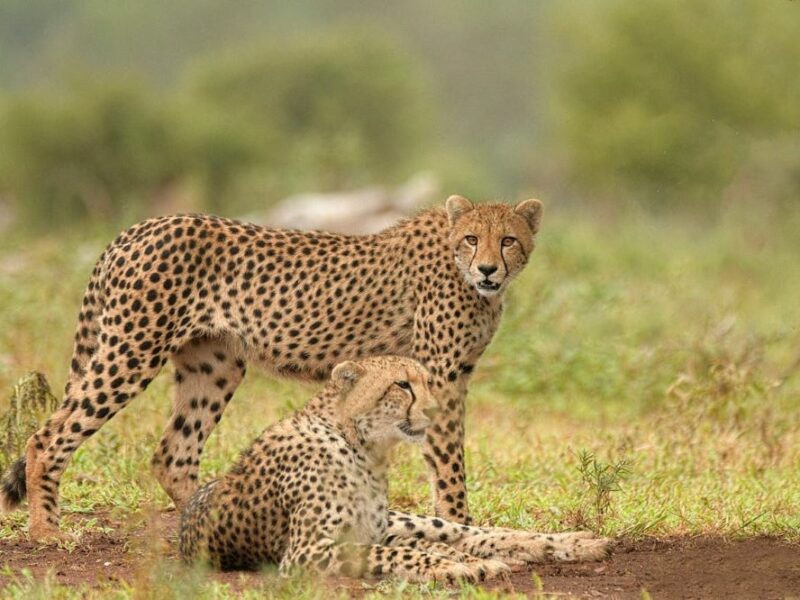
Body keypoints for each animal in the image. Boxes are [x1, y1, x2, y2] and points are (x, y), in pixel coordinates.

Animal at [0, 194, 543, 541]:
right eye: (472, 238)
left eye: (508, 241)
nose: (488, 269)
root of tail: (140, 226)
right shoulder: (441, 377)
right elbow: (449, 463)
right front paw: (460, 524)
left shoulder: (453, 377)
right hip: (132, 349)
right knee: (47, 436)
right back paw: (46, 532)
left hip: (215, 364)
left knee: (174, 454)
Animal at [178, 355, 611, 582]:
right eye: (402, 385)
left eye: (427, 382)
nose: (435, 410)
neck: (363, 446)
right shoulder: (307, 552)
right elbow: (401, 555)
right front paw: (457, 567)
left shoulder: (368, 532)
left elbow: (410, 550)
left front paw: (463, 564)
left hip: (404, 519)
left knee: (471, 532)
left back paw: (575, 543)